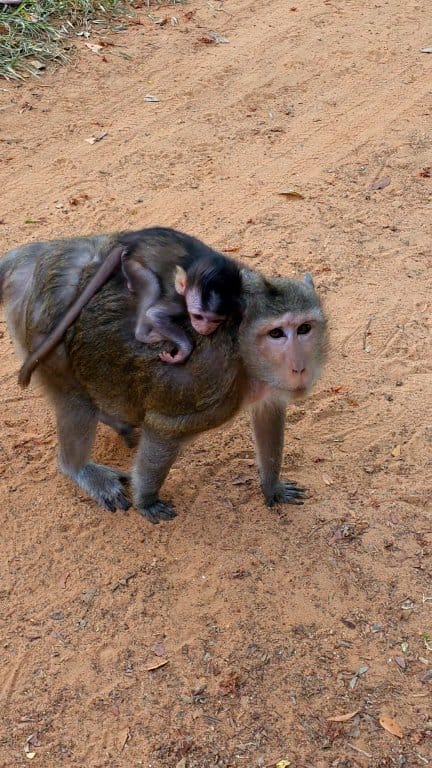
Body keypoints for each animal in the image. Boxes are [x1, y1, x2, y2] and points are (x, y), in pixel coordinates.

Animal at [17, 227, 243, 385]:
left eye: (215, 320)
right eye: (198, 317)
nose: (204, 329)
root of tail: (131, 241)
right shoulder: (180, 302)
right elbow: (154, 314)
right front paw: (183, 350)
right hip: (133, 264)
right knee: (150, 285)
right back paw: (146, 334)